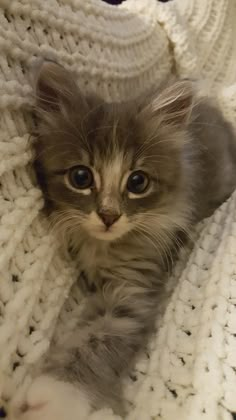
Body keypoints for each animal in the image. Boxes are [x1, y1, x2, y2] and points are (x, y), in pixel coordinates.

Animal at [10, 60, 236, 418]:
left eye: (138, 182)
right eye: (81, 177)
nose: (109, 216)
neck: (103, 246)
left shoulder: (133, 291)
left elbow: (99, 340)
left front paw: (55, 395)